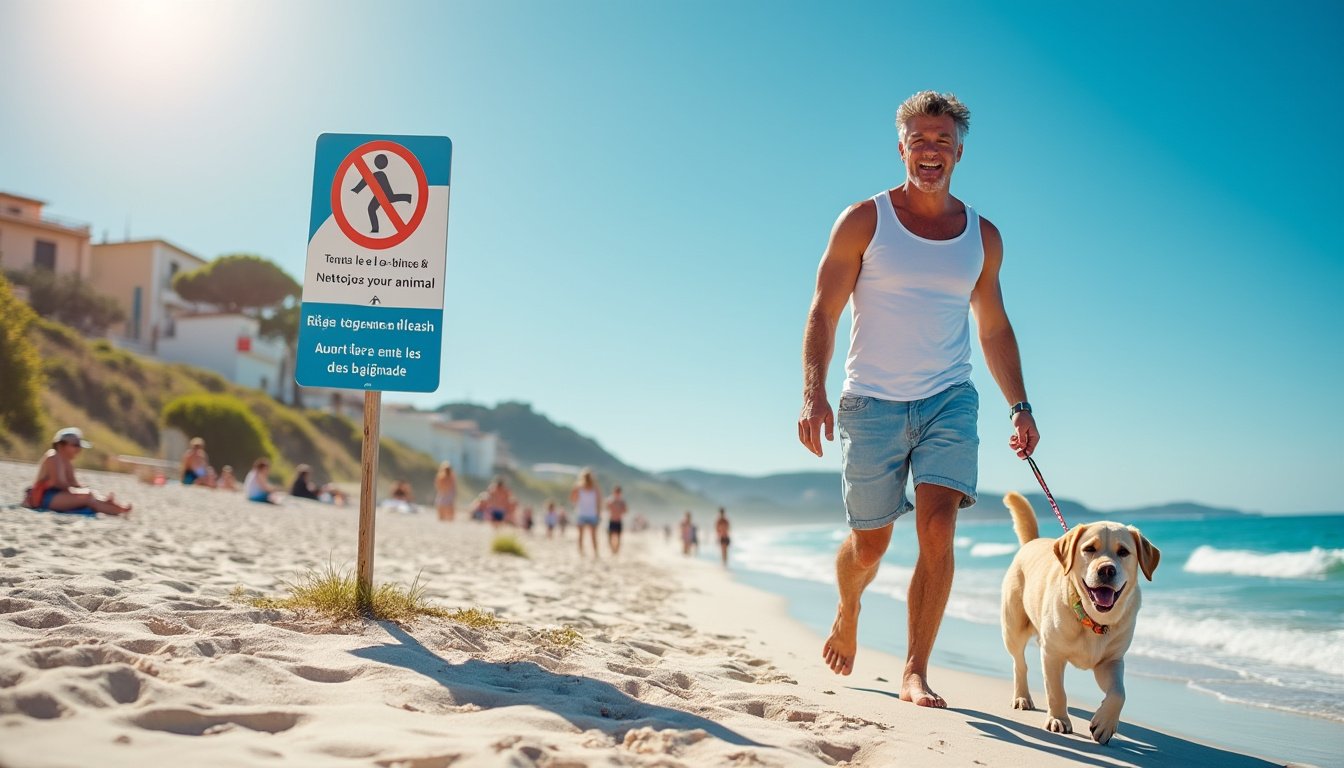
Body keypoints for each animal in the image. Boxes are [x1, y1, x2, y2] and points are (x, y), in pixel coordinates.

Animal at [999, 492, 1155, 747]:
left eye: (1123, 552)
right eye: (1089, 548)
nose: (1107, 570)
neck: (1093, 619)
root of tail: (1033, 542)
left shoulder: (1111, 661)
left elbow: (1119, 694)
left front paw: (1105, 724)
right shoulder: (1052, 654)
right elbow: (1056, 691)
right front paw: (1058, 720)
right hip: (1013, 629)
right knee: (1019, 663)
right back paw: (1022, 696)